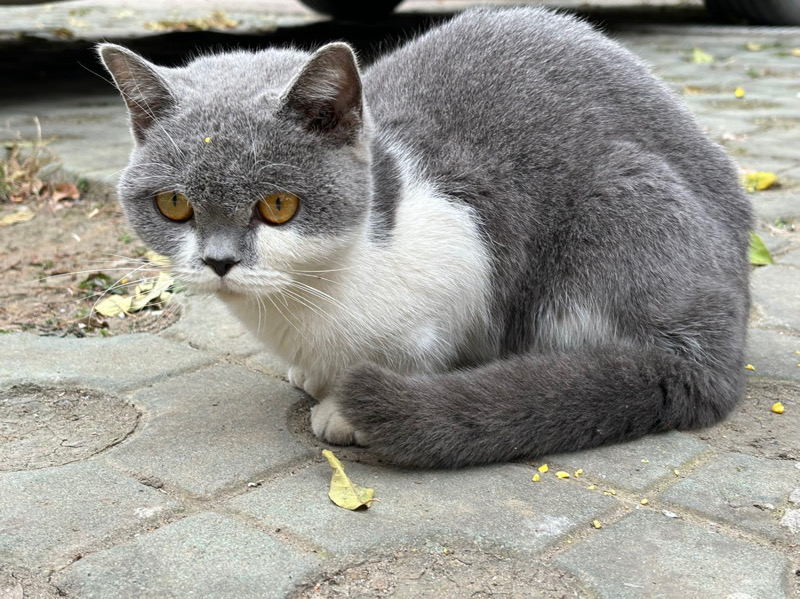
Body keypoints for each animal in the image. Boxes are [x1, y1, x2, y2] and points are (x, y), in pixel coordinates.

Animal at [97, 7, 752, 472]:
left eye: (278, 206)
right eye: (175, 205)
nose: (219, 261)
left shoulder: (465, 248)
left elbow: (416, 350)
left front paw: (342, 410)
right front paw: (311, 377)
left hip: (620, 203)